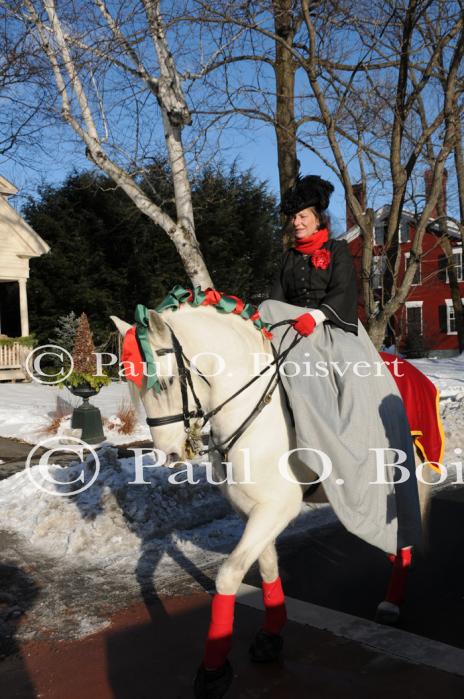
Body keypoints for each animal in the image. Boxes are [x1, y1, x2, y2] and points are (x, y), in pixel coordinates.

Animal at [110, 304, 430, 699]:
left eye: (166, 382)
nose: (168, 454)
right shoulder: (255, 509)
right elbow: (265, 568)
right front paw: (271, 633)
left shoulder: (277, 508)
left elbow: (229, 575)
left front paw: (213, 670)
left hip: (403, 482)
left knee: (405, 533)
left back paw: (391, 601)